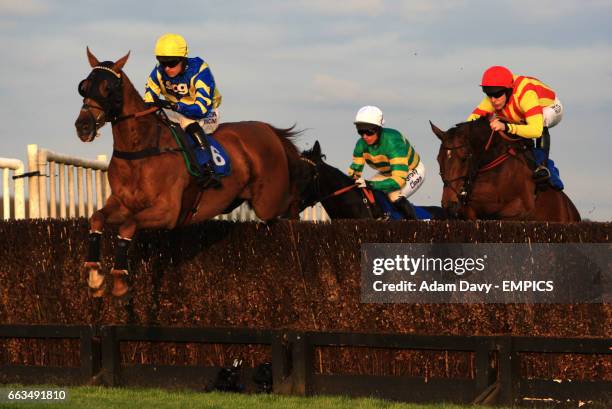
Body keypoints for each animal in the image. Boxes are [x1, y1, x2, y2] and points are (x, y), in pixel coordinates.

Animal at [75, 48, 306, 296]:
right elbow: (97, 218)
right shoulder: (122, 203)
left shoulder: (168, 212)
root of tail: (269, 130)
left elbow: (128, 226)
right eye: (84, 86)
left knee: (290, 205)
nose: (83, 126)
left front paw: (119, 278)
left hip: (269, 202)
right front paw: (95, 275)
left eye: (108, 89)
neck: (141, 149)